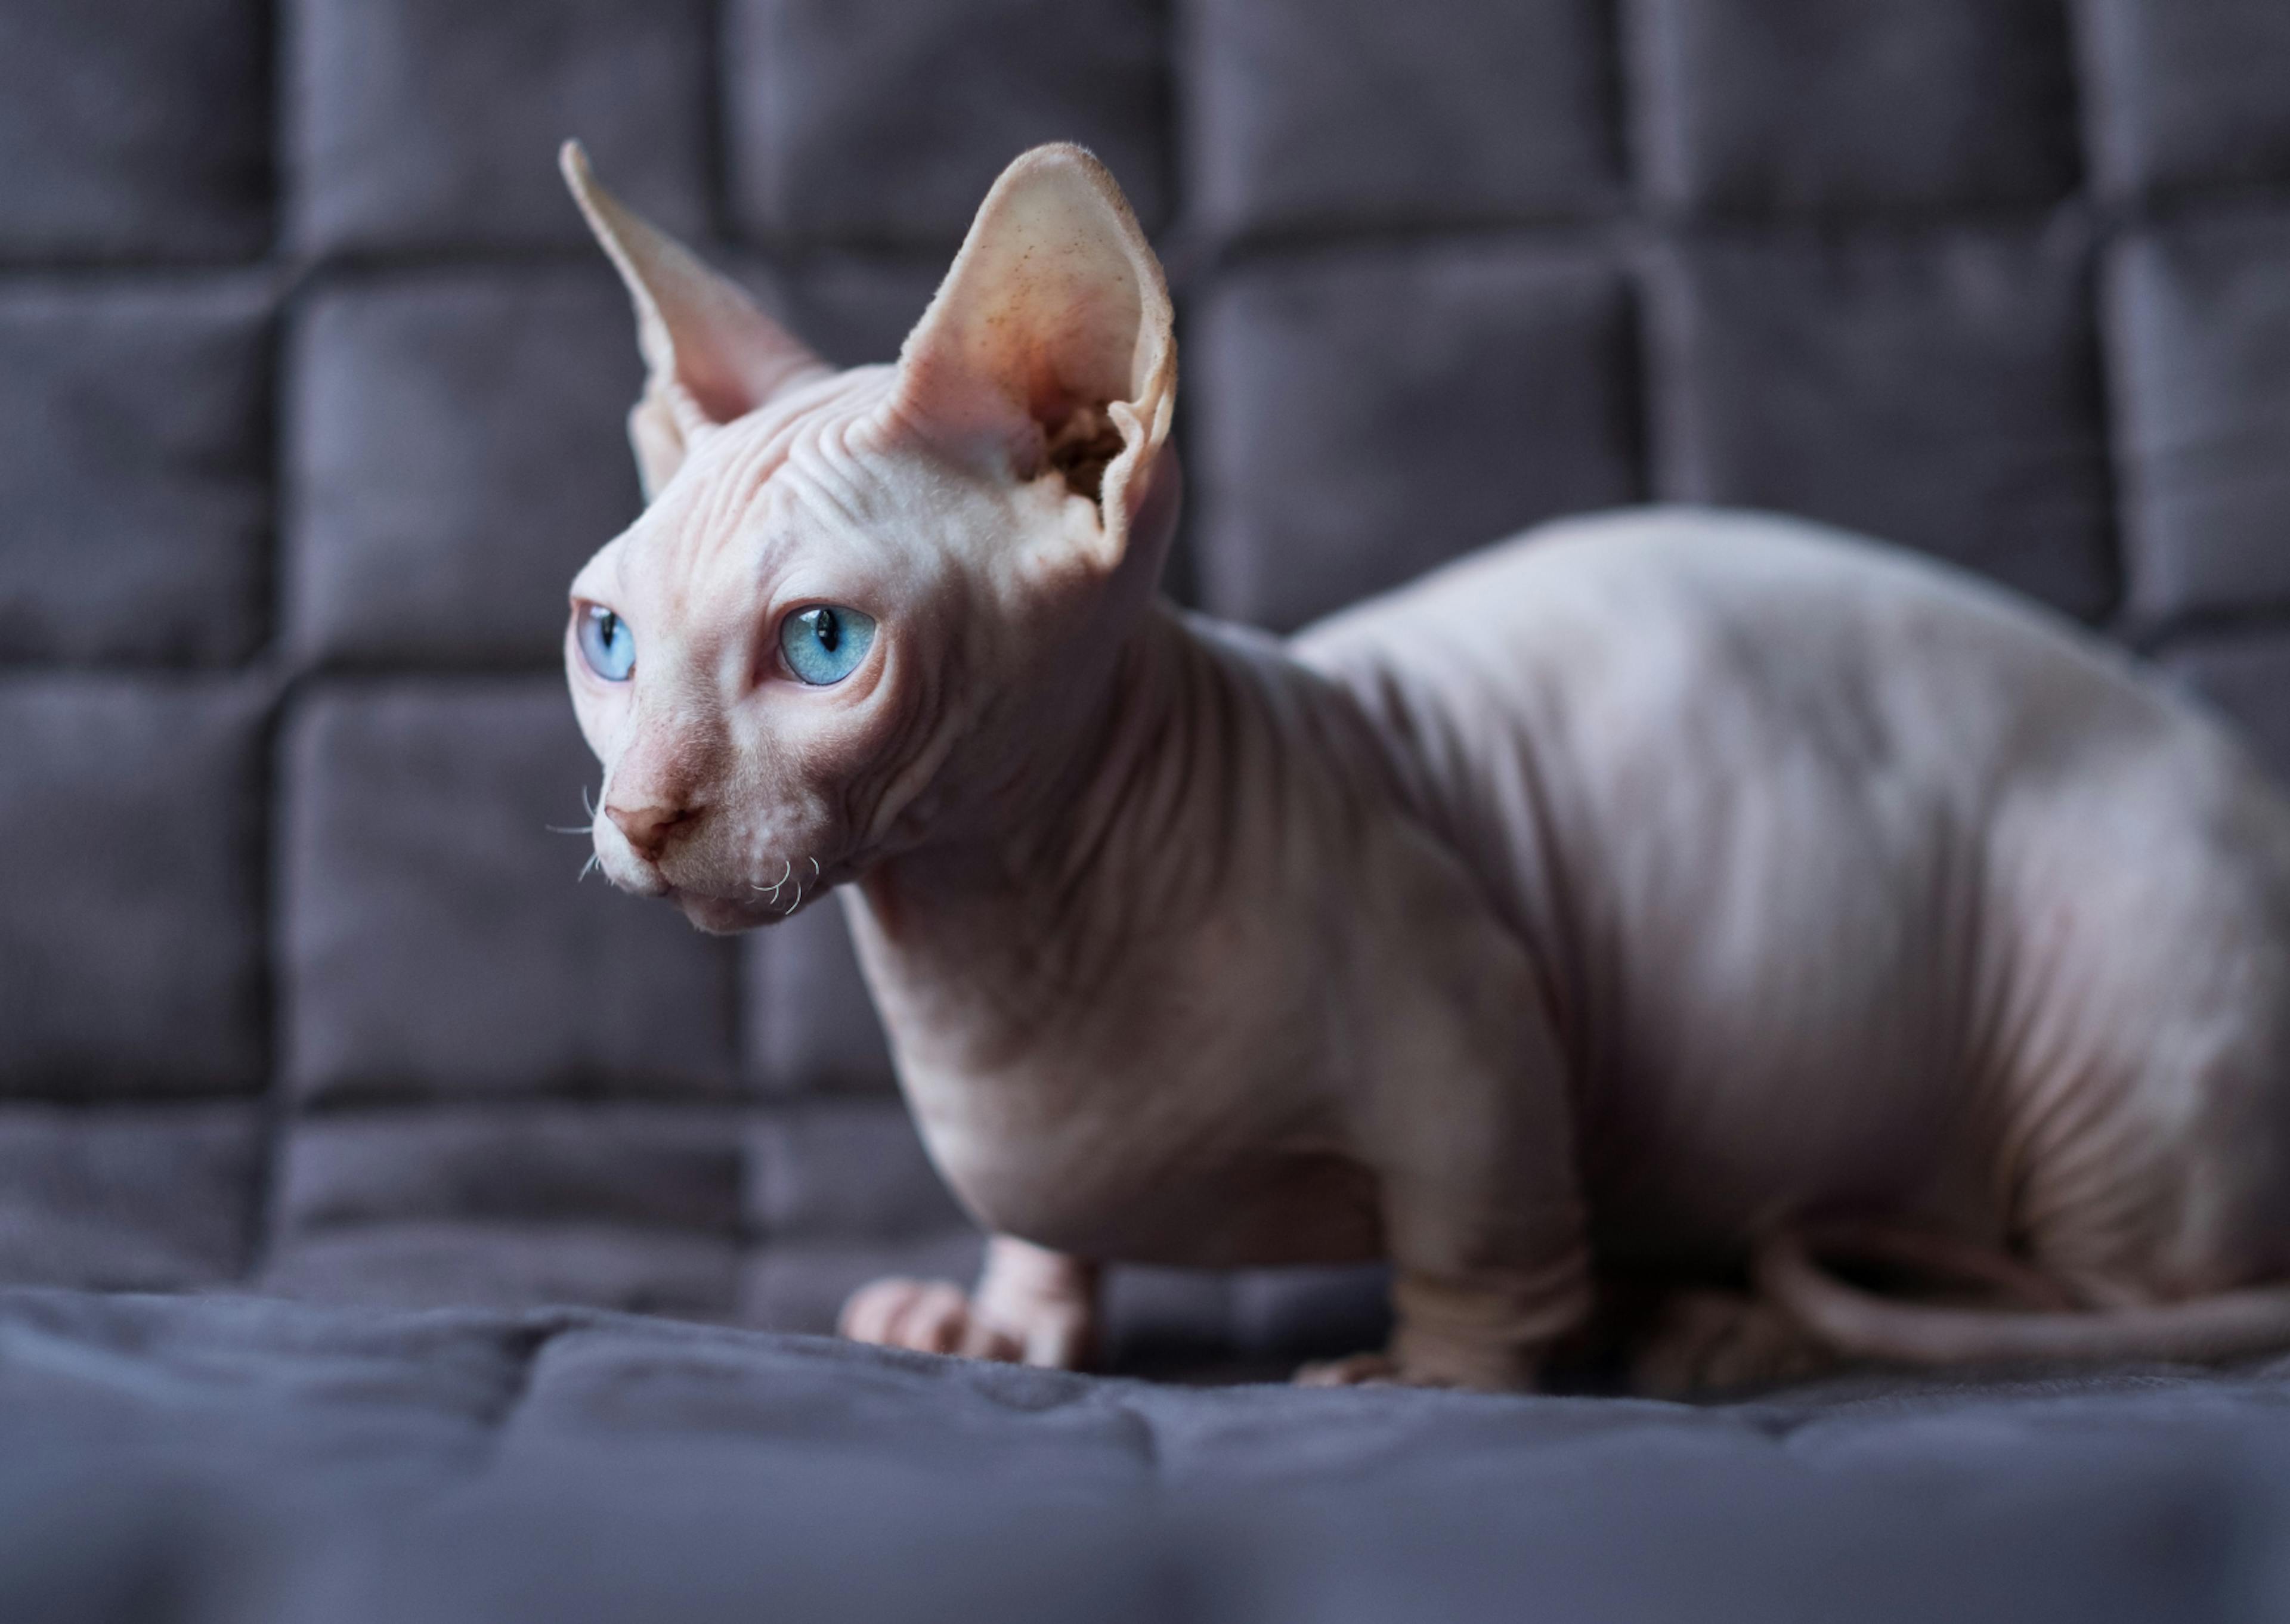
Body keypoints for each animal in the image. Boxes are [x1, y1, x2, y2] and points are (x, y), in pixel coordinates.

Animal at [549, 136, 2290, 1392]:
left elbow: (1481, 1243)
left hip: (2116, 1012)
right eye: (608, 639)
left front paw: (1433, 1378)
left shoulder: (1469, 1014)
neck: (993, 940)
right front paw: (999, 1320)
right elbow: (1040, 1230)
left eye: (822, 644)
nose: (640, 813)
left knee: (2107, 1301)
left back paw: (1733, 1327)